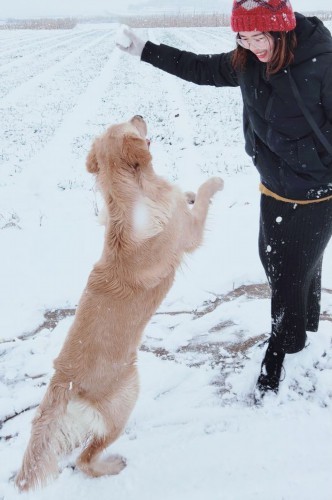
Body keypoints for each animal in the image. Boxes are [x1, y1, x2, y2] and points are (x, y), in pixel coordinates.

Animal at [14, 115, 223, 490]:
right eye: (129, 124)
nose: (139, 114)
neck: (135, 195)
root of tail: (62, 380)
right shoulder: (189, 232)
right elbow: (201, 197)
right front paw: (212, 183)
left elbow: (186, 194)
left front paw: (185, 192)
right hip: (126, 398)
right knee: (85, 458)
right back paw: (112, 465)